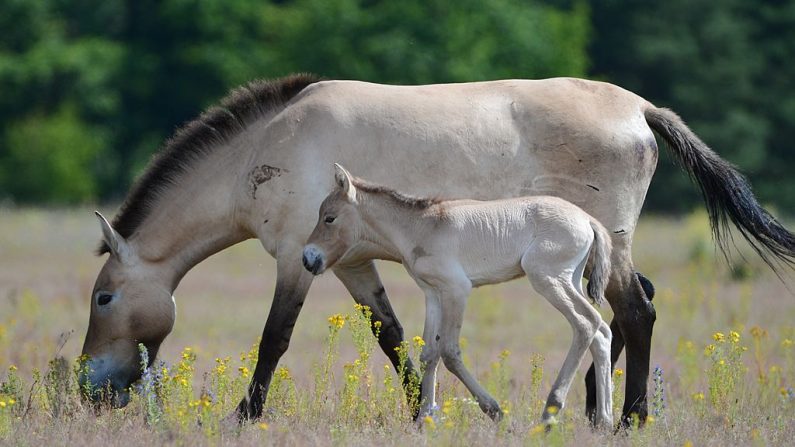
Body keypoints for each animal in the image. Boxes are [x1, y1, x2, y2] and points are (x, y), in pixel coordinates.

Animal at [304, 164, 616, 428]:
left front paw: (495, 411)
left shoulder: (457, 290)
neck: (421, 226)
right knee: (601, 331)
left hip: (547, 278)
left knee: (586, 323)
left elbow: (450, 352)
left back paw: (550, 413)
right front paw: (424, 420)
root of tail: (588, 219)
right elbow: (429, 354)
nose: (309, 259)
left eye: (329, 218)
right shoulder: (432, 293)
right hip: (568, 280)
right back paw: (604, 421)